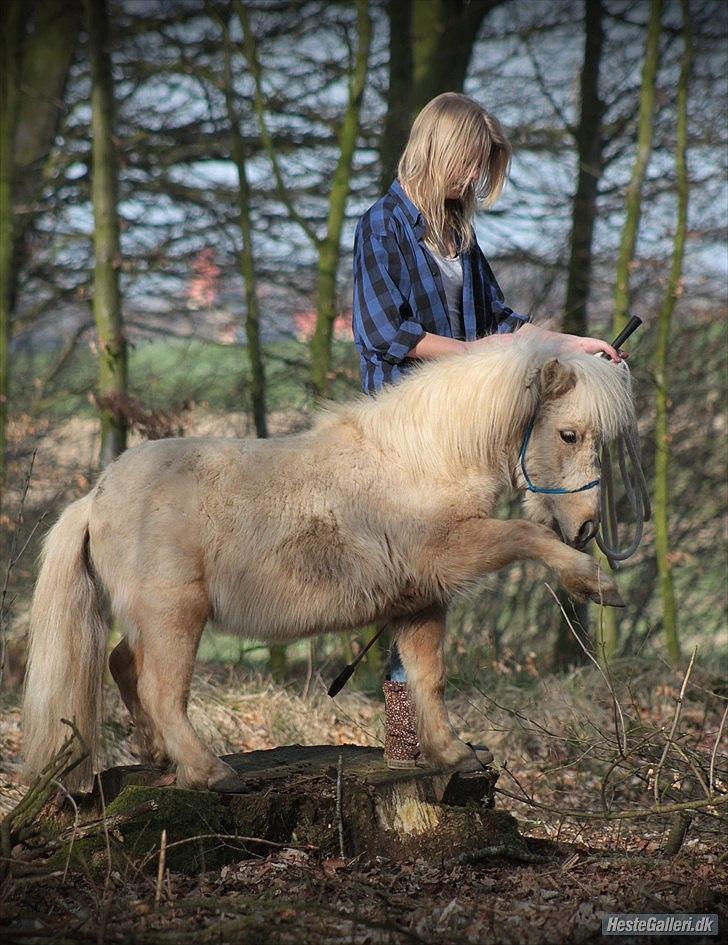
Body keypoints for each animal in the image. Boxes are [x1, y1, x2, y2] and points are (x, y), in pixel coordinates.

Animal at [22, 336, 636, 792]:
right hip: (175, 616)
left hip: (151, 620)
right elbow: (526, 534)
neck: (422, 461)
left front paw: (452, 754)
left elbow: (427, 679)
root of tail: (95, 497)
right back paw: (208, 772)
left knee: (123, 665)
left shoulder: (421, 600)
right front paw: (596, 583)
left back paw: (159, 756)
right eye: (569, 434)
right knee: (159, 689)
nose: (586, 528)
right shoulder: (454, 552)